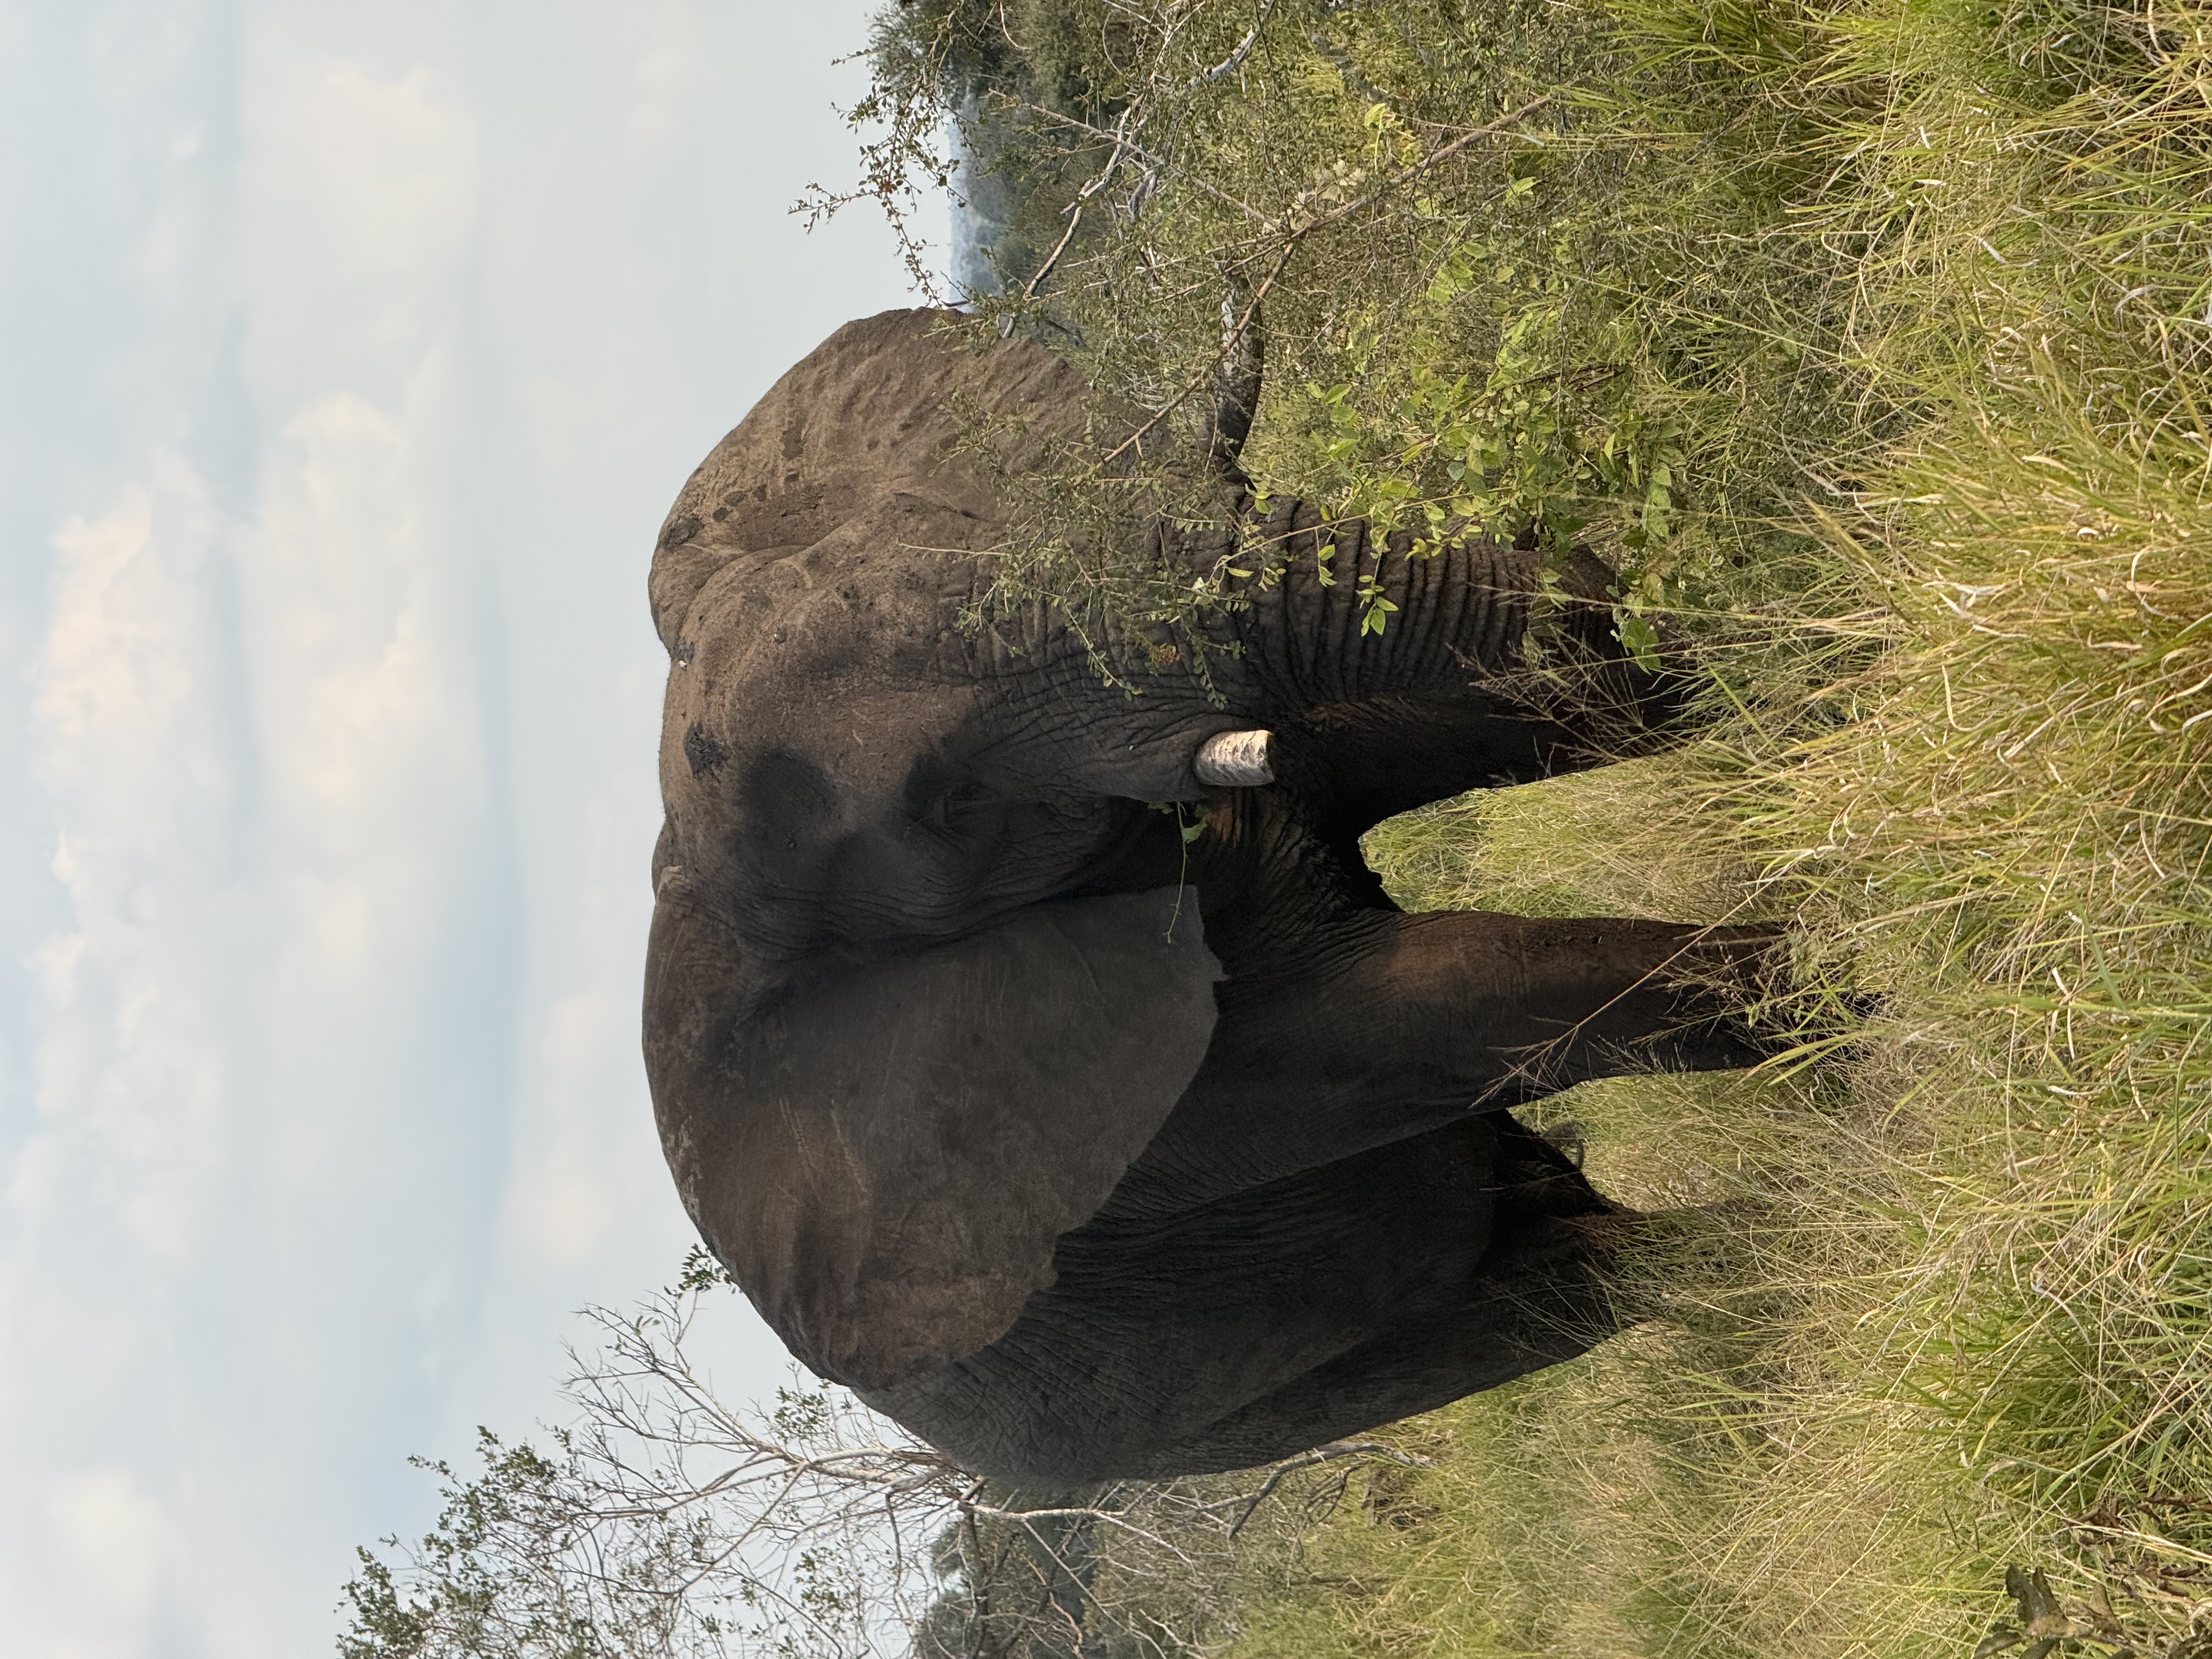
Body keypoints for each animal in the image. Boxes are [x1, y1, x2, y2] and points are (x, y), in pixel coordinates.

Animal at [643, 307, 1784, 1485]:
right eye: (954, 802)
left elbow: (1517, 713)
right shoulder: (1129, 1089)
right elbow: (1447, 991)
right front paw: (1836, 985)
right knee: (1565, 1288)